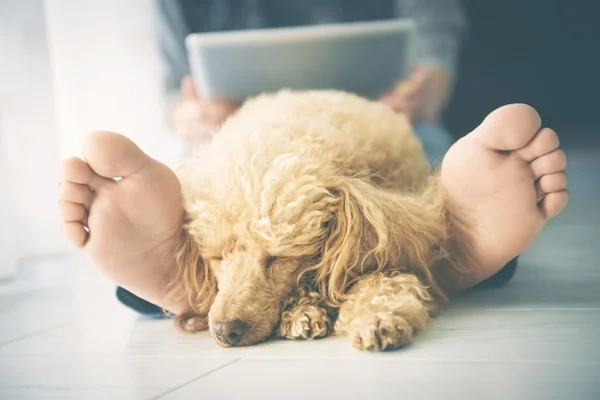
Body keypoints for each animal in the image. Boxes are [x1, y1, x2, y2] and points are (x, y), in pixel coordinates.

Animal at [165, 88, 464, 350]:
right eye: (216, 257)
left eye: (278, 258)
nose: (226, 331)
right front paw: (302, 312)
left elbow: (381, 278)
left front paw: (376, 317)